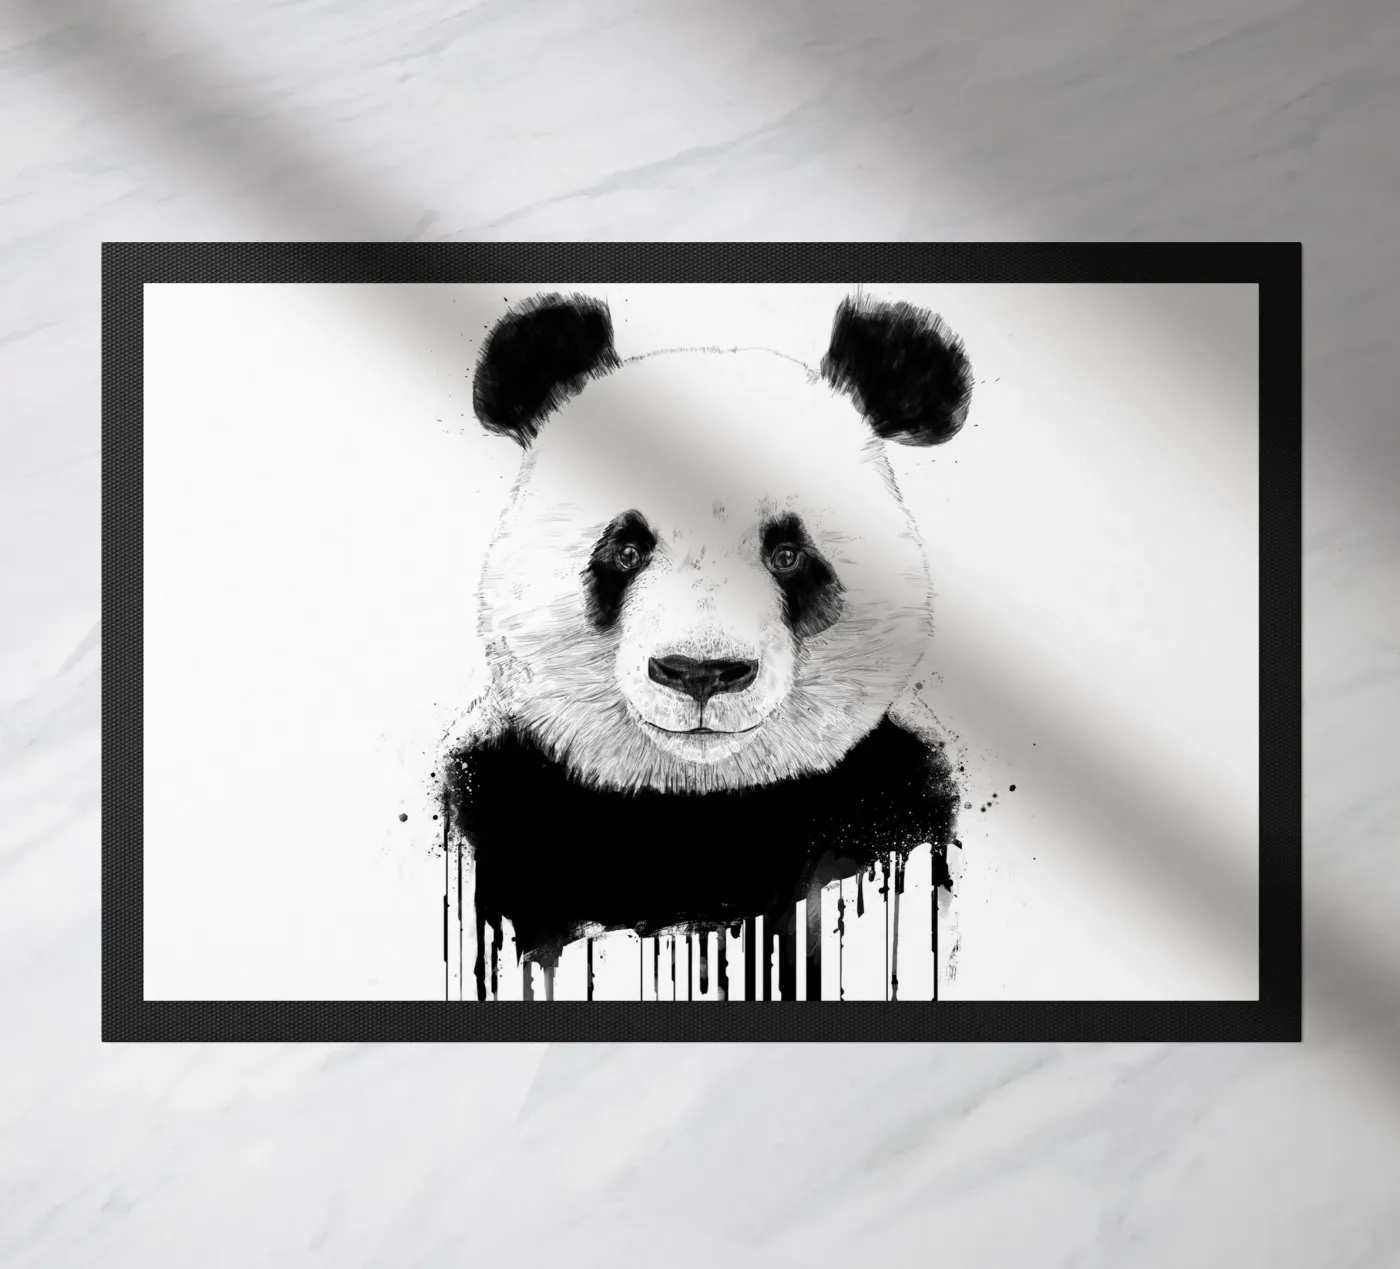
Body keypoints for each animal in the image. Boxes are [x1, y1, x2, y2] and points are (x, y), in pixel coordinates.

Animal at [441, 291, 972, 999]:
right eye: (626, 549)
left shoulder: (885, 795)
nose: (699, 673)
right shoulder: (509, 799)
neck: (698, 808)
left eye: (788, 554)